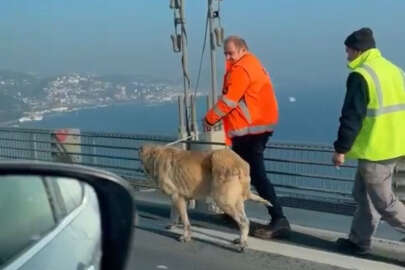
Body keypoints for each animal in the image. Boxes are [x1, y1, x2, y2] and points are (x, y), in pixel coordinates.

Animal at [139, 144, 272, 250]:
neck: (155, 155)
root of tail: (241, 165)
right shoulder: (178, 197)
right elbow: (174, 213)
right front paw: (172, 225)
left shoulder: (177, 197)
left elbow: (185, 220)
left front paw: (185, 236)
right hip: (236, 202)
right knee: (245, 220)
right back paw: (240, 239)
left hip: (223, 200)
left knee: (244, 222)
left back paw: (243, 244)